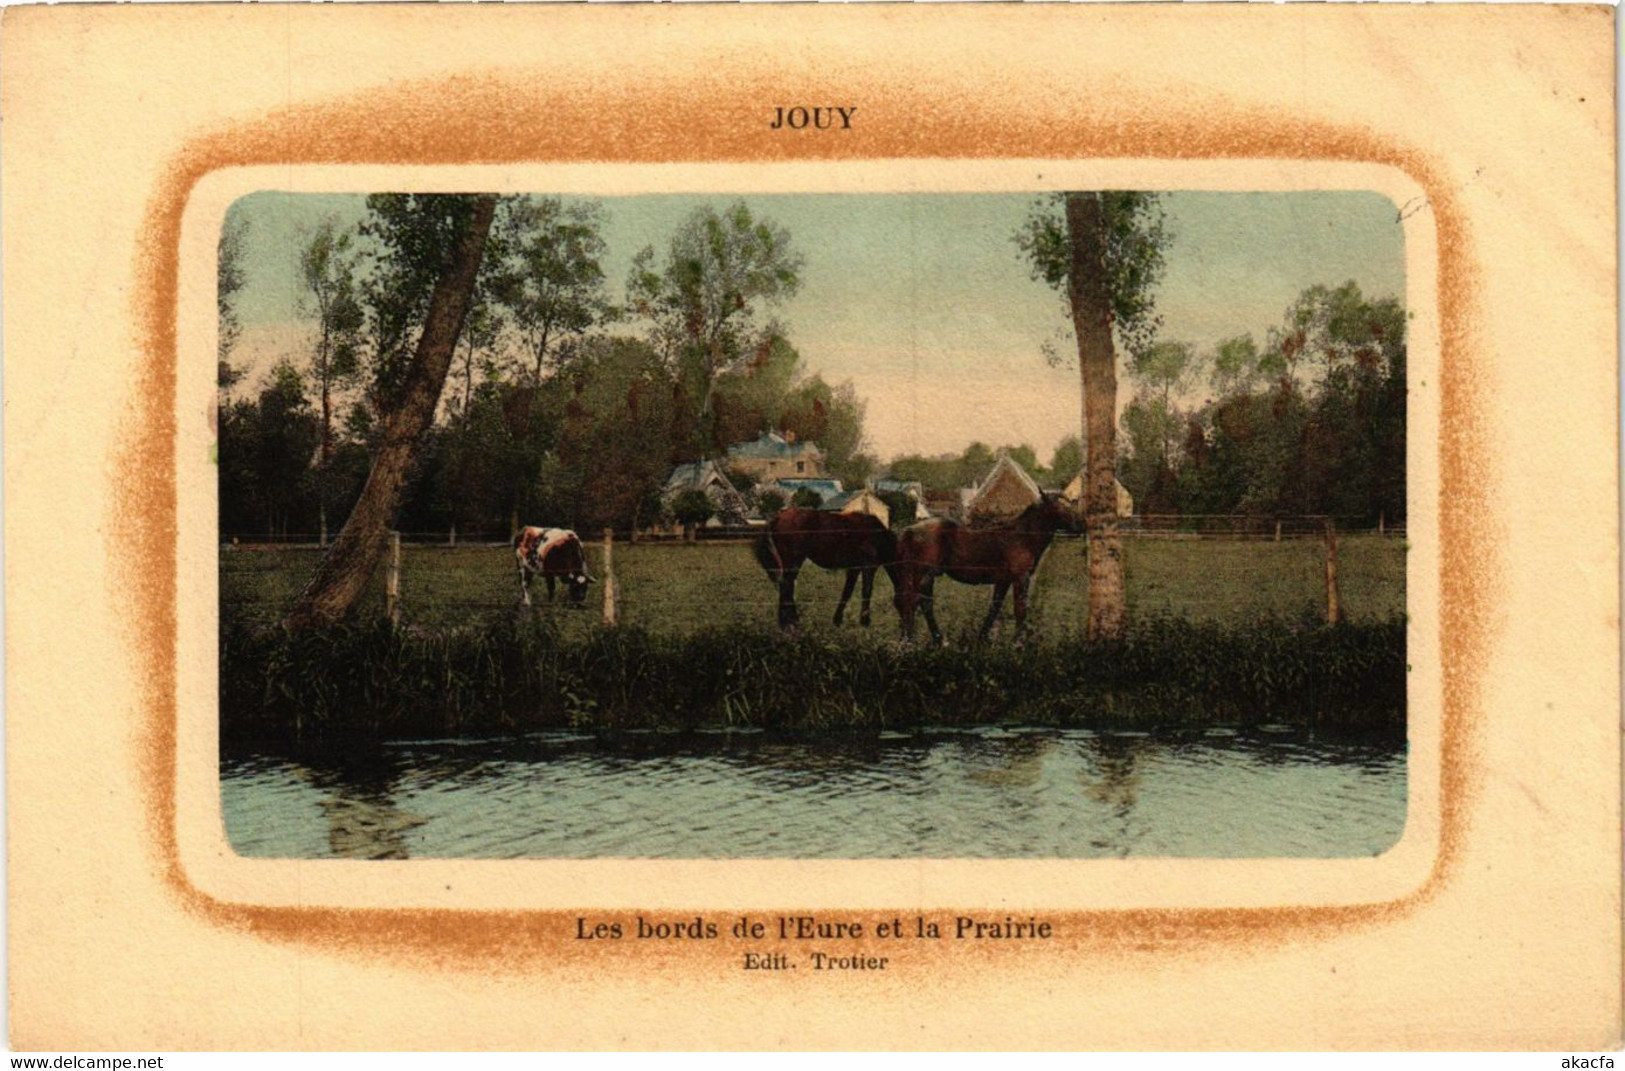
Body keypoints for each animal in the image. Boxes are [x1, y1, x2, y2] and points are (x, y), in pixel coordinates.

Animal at [750, 510, 903, 627]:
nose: (903, 624)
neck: (877, 534)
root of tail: (778, 517)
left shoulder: (853, 569)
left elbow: (847, 592)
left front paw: (837, 619)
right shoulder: (869, 567)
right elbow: (866, 591)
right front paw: (865, 621)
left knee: (786, 587)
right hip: (793, 562)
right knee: (786, 587)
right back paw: (791, 621)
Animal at [897, 497, 1085, 646]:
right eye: (1061, 509)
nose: (1082, 525)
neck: (1021, 537)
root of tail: (911, 529)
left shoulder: (1003, 581)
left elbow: (995, 606)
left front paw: (983, 638)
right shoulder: (1021, 578)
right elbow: (1020, 608)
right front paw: (1019, 642)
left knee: (913, 603)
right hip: (924, 575)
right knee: (919, 603)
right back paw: (929, 640)